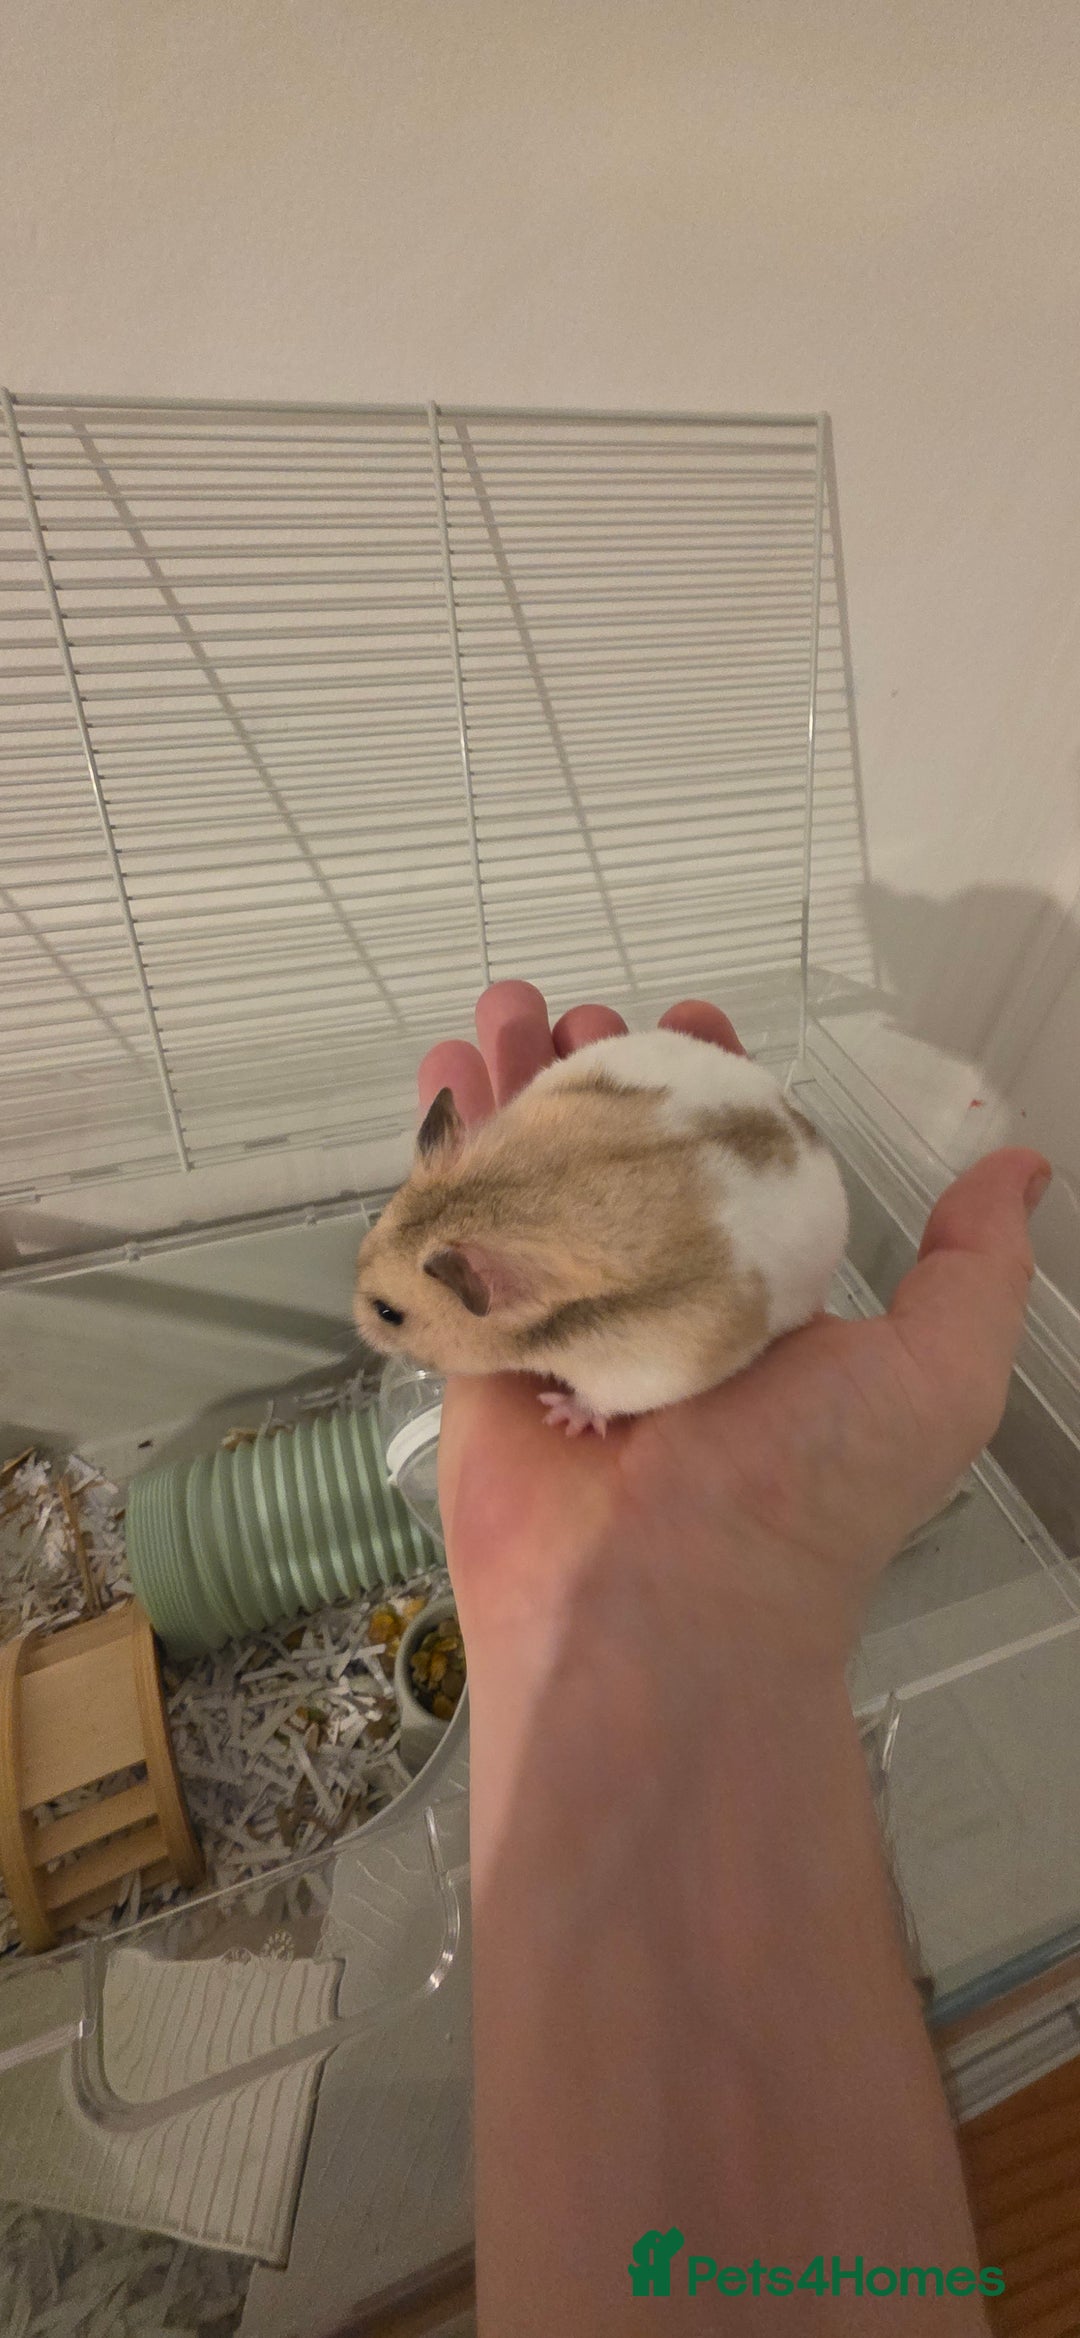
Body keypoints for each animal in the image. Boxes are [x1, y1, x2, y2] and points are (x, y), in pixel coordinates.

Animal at [355, 1028, 849, 1434]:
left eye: (387, 1313)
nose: (356, 1321)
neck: (493, 1206)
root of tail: (813, 1134)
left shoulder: (643, 1370)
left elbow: (600, 1400)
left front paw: (560, 1415)